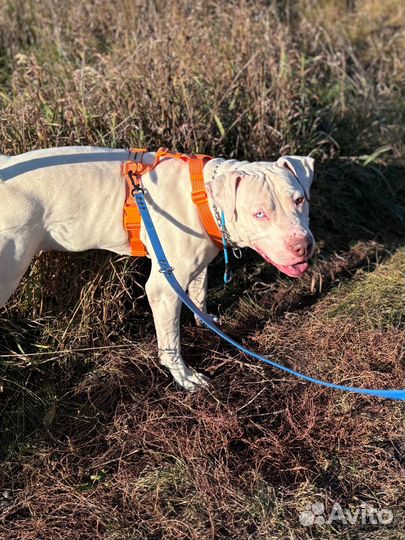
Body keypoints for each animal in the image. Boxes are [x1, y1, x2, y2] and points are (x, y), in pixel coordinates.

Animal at [0, 148, 314, 390]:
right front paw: (185, 378)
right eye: (259, 213)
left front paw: (206, 321)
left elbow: (199, 293)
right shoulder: (163, 290)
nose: (303, 246)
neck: (203, 199)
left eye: (300, 200)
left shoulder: (197, 265)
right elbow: (171, 342)